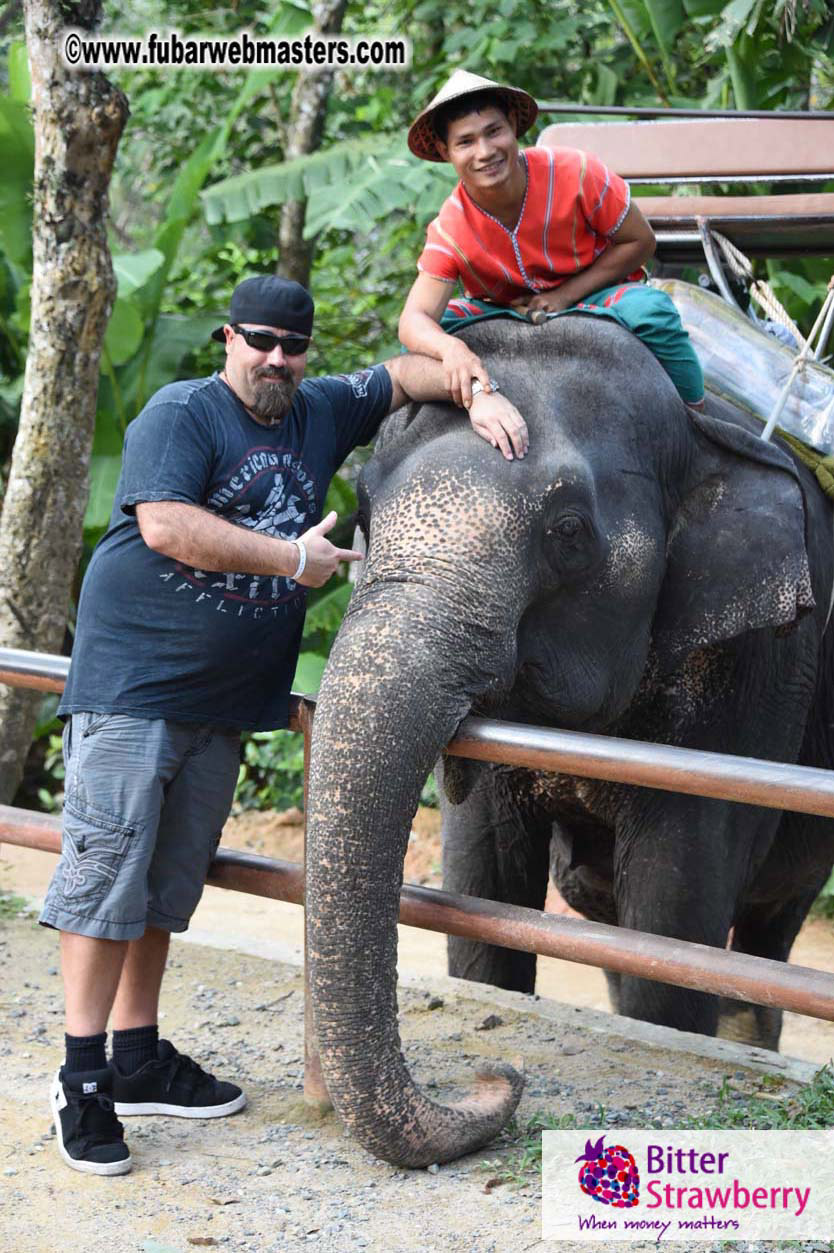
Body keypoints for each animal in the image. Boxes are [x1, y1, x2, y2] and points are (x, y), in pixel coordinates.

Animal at [305, 312, 834, 1168]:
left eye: (569, 533)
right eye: (363, 511)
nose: (497, 1075)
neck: (698, 435)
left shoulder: (755, 668)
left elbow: (670, 925)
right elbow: (484, 893)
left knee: (764, 927)